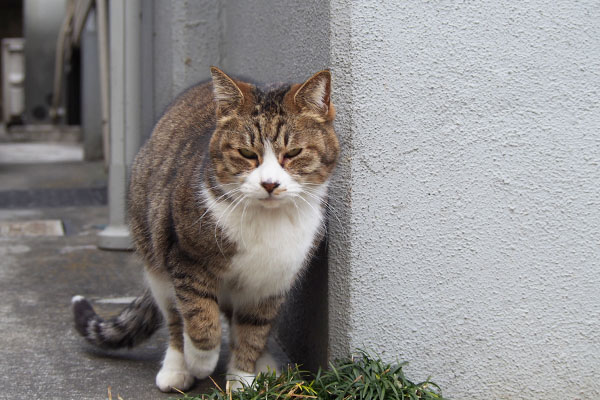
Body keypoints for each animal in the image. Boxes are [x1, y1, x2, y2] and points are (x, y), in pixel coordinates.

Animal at [70, 67, 338, 392]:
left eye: (294, 152)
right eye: (247, 153)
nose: (270, 184)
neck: (266, 221)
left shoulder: (272, 282)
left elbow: (252, 331)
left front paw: (242, 378)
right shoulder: (185, 259)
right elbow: (200, 316)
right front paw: (200, 360)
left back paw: (263, 364)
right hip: (155, 257)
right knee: (175, 317)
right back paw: (176, 367)